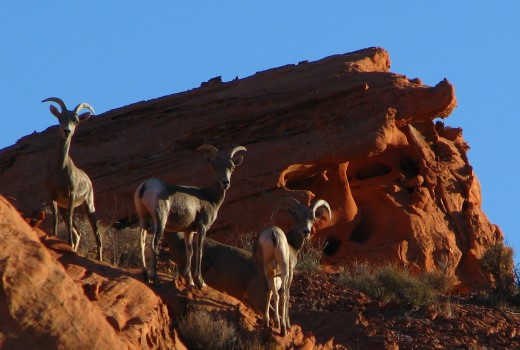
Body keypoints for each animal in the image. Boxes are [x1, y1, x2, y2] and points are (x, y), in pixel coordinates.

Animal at [42, 97, 102, 262]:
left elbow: (68, 222)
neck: (59, 169)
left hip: (88, 203)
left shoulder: (72, 194)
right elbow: (55, 220)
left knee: (96, 232)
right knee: (78, 232)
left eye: (76, 121)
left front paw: (67, 244)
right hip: (65, 207)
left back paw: (99, 258)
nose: (67, 131)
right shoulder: (52, 196)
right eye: (60, 118)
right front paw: (54, 237)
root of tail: (88, 179)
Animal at [134, 144, 248, 288]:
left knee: (142, 242)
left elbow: (190, 252)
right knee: (153, 245)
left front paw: (190, 281)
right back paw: (156, 280)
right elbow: (199, 251)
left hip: (143, 220)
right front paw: (200, 282)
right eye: (215, 166)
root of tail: (145, 186)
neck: (209, 196)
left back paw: (145, 276)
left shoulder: (188, 231)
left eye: (232, 167)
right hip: (160, 221)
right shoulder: (202, 227)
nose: (225, 182)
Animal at [254, 197, 332, 336]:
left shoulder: (273, 273)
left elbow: (274, 294)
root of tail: (273, 234)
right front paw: (285, 323)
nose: (306, 232)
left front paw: (276, 322)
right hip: (284, 267)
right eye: (297, 218)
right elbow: (287, 295)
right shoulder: (290, 271)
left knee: (268, 290)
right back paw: (284, 328)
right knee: (284, 293)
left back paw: (266, 323)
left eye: (312, 219)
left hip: (264, 267)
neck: (292, 245)